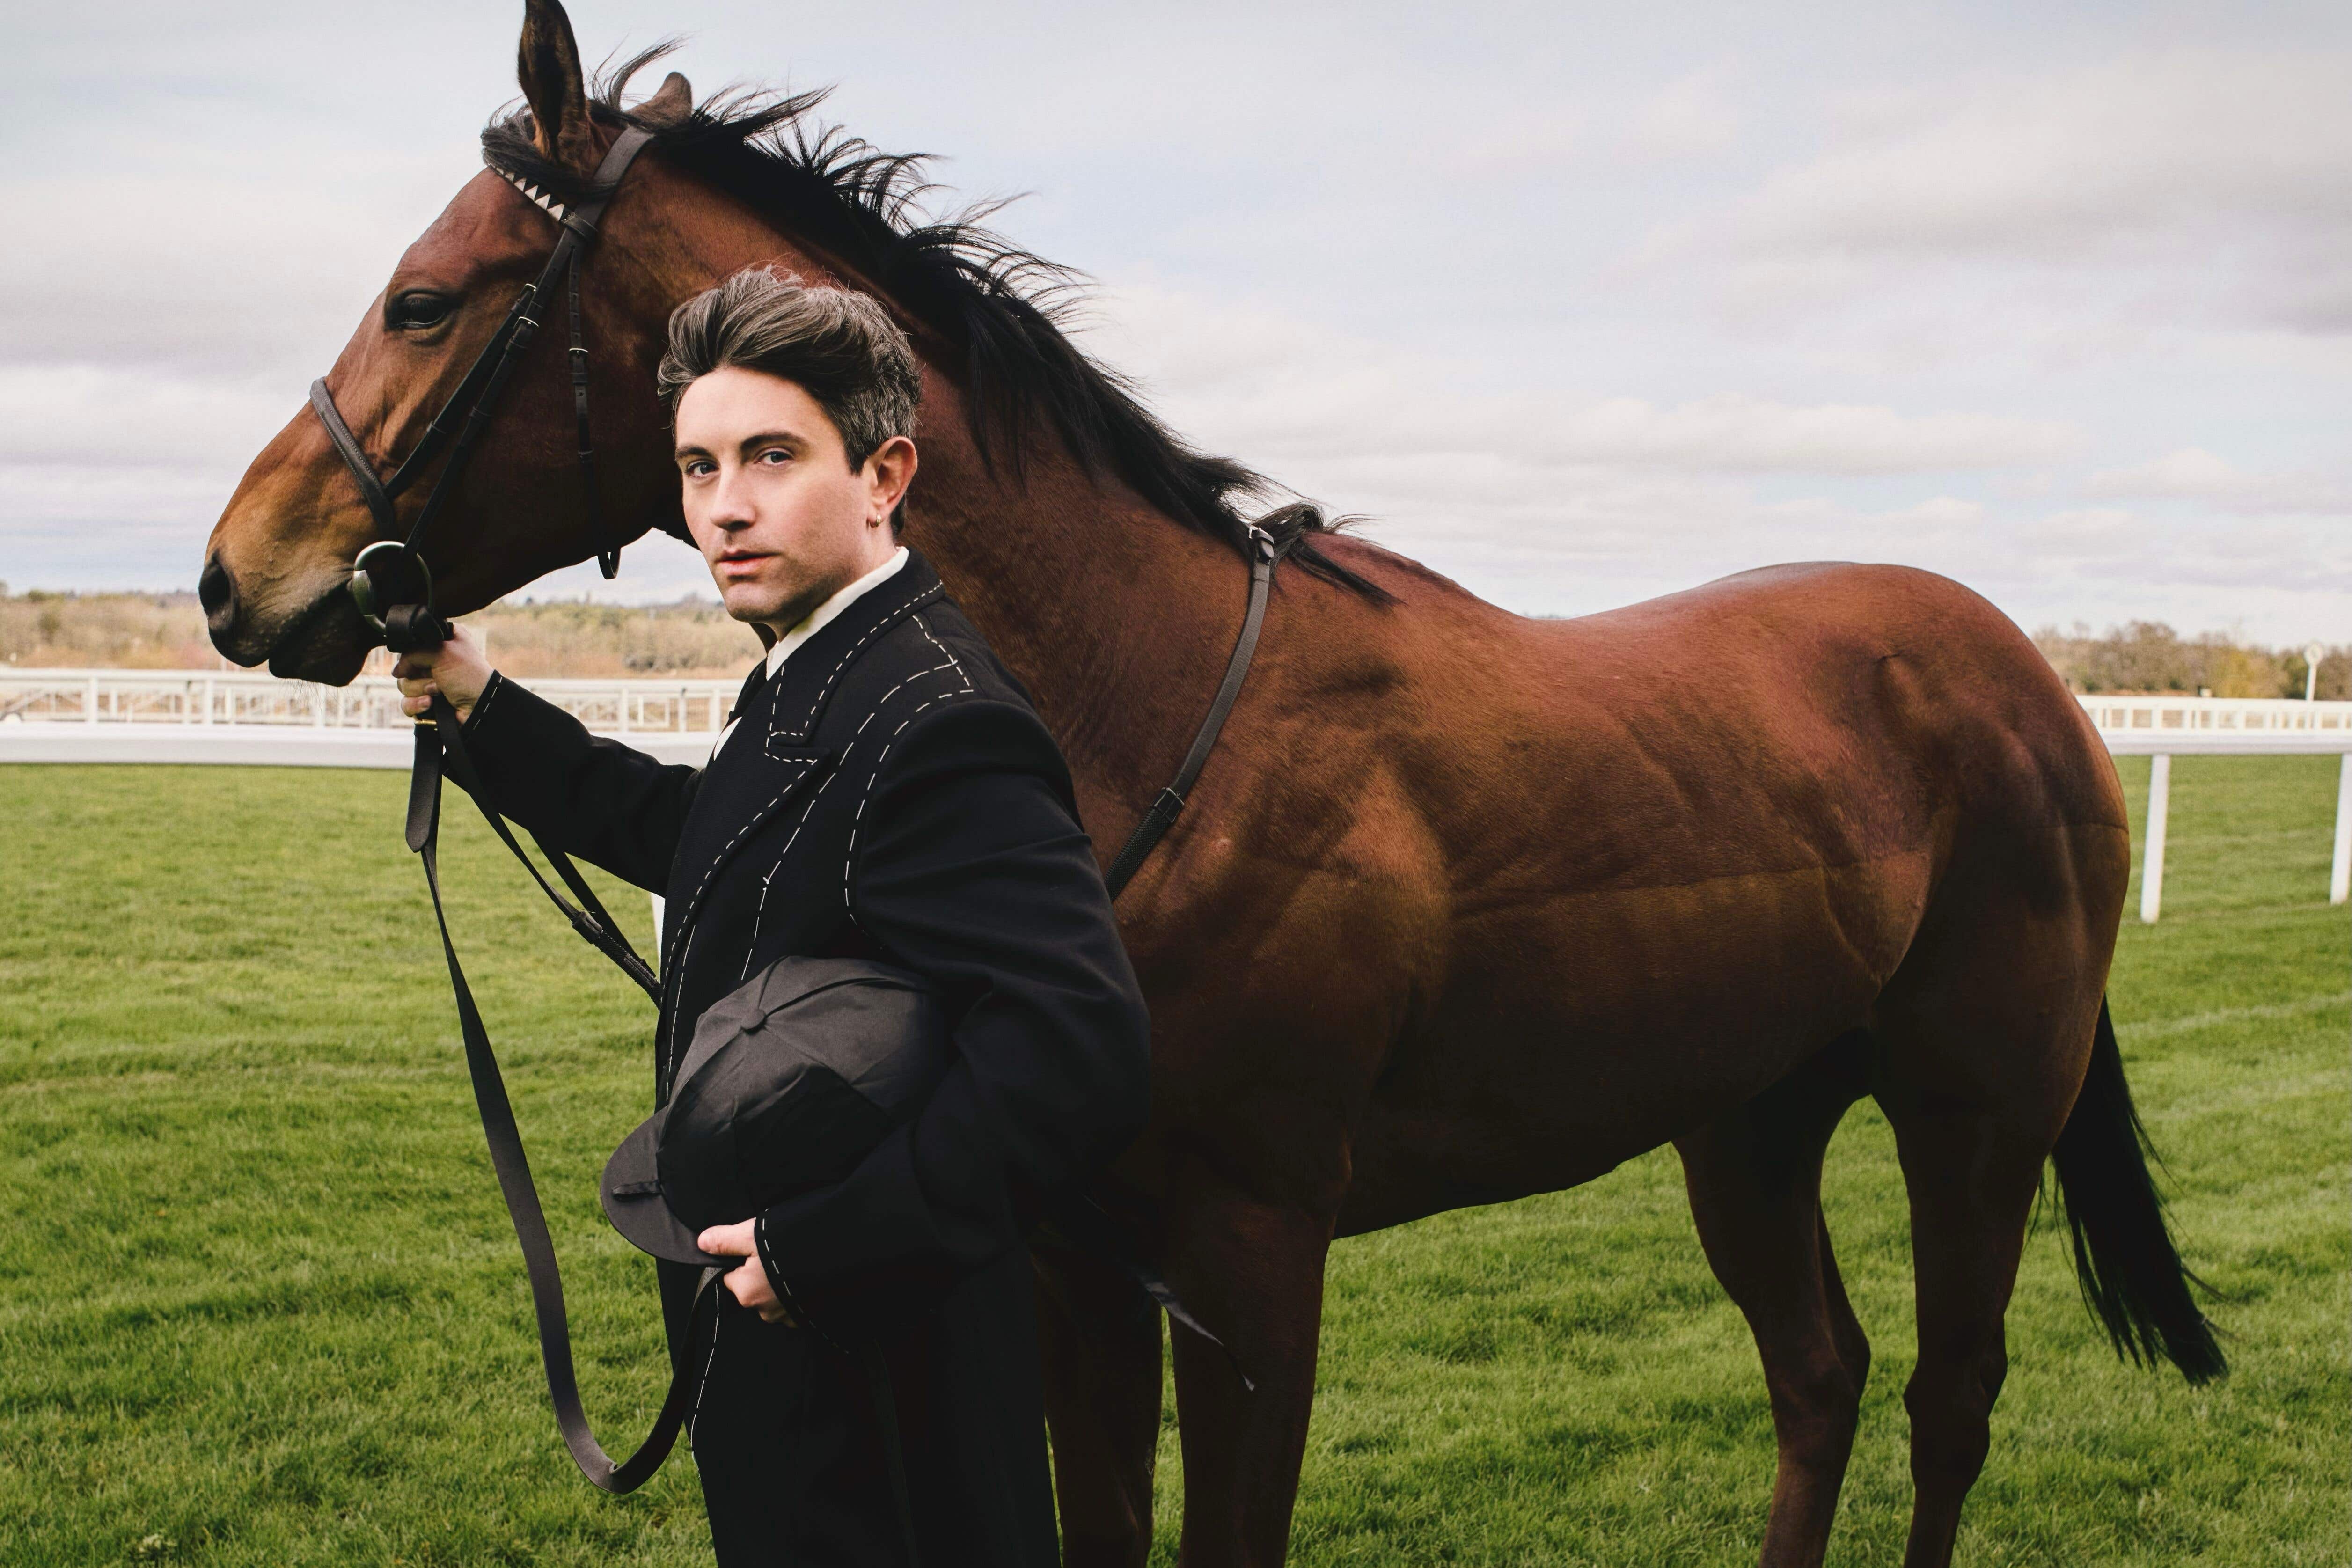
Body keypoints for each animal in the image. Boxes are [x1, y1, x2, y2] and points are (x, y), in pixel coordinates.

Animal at [198, 6, 2220, 1561]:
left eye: (423, 299)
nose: (236, 578)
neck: (1126, 717)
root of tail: (2020, 678)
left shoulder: (1250, 1261)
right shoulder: (1065, 1255)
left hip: (1972, 1113)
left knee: (1948, 1400)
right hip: (1743, 1114)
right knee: (1819, 1376)